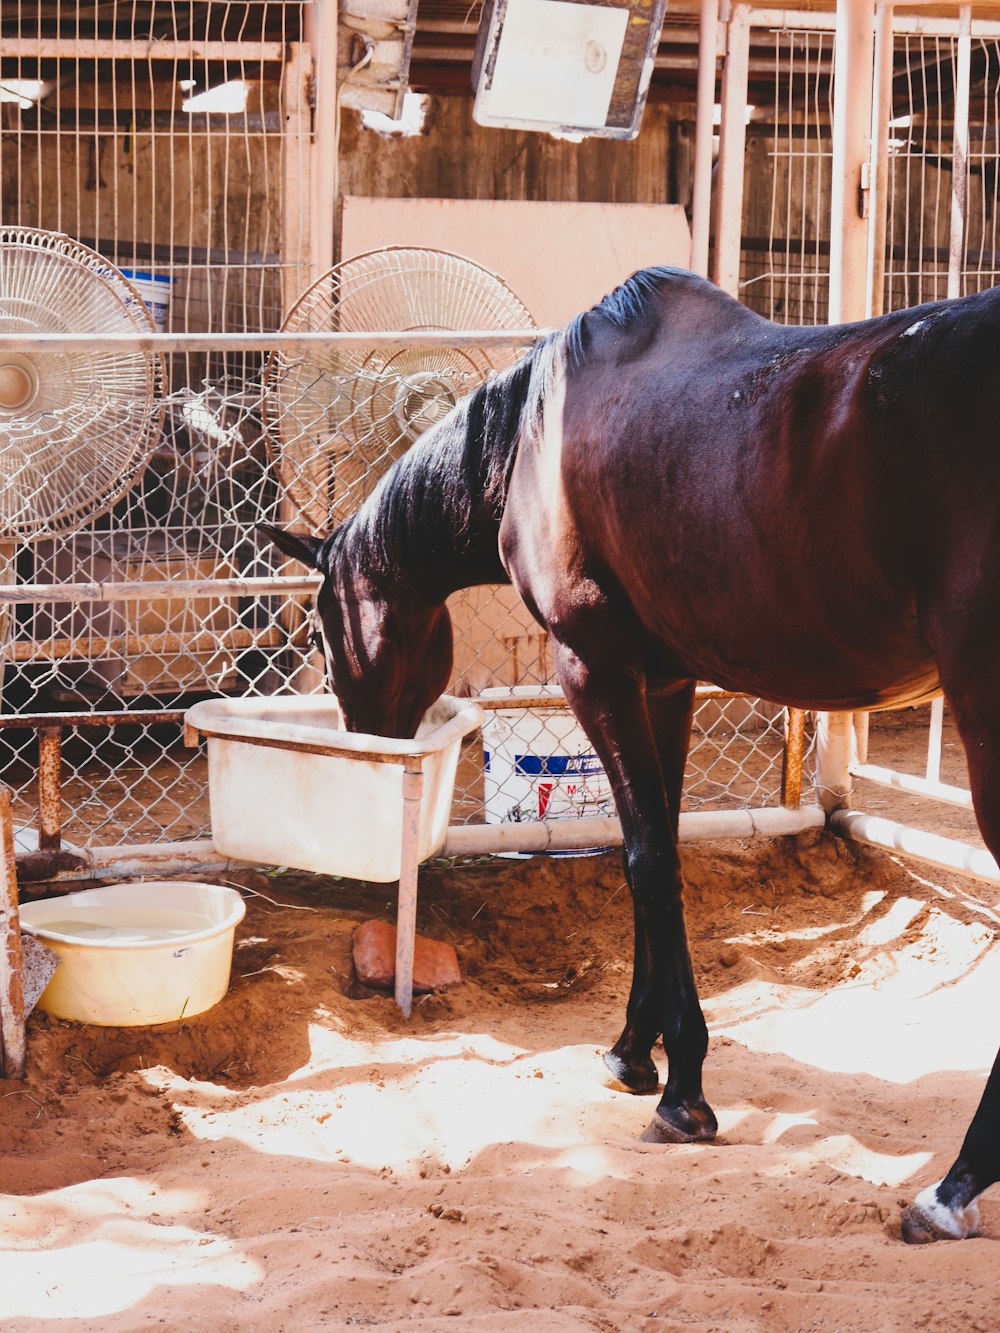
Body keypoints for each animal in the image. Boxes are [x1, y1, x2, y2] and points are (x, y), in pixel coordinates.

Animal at [262, 265, 1000, 1242]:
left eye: (322, 622)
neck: (529, 439)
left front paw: (682, 1089)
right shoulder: (664, 683)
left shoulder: (595, 668)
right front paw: (632, 1051)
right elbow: (659, 850)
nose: (363, 737)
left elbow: (645, 859)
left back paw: (950, 1190)